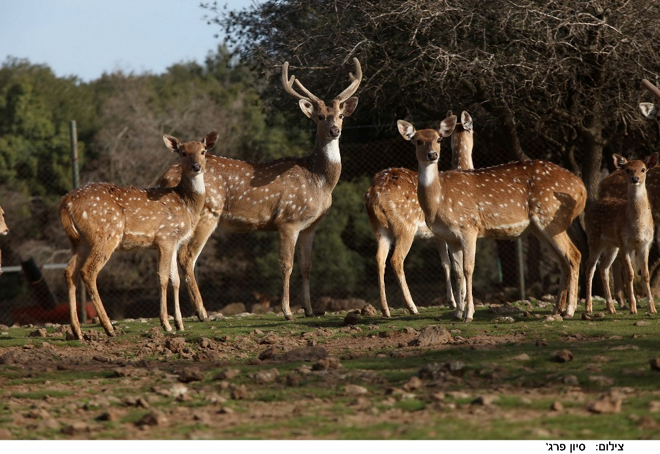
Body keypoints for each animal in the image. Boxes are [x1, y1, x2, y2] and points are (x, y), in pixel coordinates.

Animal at [57, 129, 215, 338]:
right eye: (183, 153)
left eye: (203, 151)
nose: (196, 166)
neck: (186, 204)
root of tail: (65, 202)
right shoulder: (165, 236)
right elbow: (163, 277)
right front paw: (166, 324)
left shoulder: (174, 241)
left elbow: (175, 280)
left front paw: (180, 324)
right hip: (106, 234)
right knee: (88, 271)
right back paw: (108, 327)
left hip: (79, 241)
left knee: (69, 271)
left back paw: (77, 331)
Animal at [157, 57, 364, 320]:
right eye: (318, 116)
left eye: (340, 115)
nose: (334, 130)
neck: (318, 180)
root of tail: (163, 178)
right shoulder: (288, 219)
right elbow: (287, 265)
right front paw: (287, 311)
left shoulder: (311, 225)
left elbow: (307, 266)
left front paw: (309, 309)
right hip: (208, 213)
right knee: (187, 256)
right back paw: (203, 313)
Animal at [366, 111, 474, 316]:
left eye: (439, 138)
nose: (433, 154)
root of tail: (374, 195)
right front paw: (460, 299)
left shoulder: (439, 234)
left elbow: (446, 262)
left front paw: (452, 301)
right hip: (405, 226)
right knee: (396, 259)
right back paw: (412, 307)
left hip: (380, 229)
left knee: (379, 258)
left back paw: (385, 309)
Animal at [400, 114, 584, 320]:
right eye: (418, 141)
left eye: (439, 139)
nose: (432, 155)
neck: (438, 202)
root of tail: (582, 188)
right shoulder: (450, 237)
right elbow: (457, 272)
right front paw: (457, 313)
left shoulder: (469, 226)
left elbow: (468, 269)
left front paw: (469, 314)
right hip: (539, 228)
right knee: (563, 260)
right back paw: (557, 309)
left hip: (551, 217)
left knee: (574, 254)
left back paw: (569, 310)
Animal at [584, 154, 656, 314]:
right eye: (627, 169)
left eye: (643, 169)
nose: (635, 178)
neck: (638, 227)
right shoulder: (625, 244)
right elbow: (630, 273)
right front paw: (633, 308)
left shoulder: (645, 244)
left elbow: (646, 274)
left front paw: (652, 308)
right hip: (594, 238)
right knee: (590, 266)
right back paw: (588, 307)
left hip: (612, 246)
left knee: (603, 267)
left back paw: (611, 308)